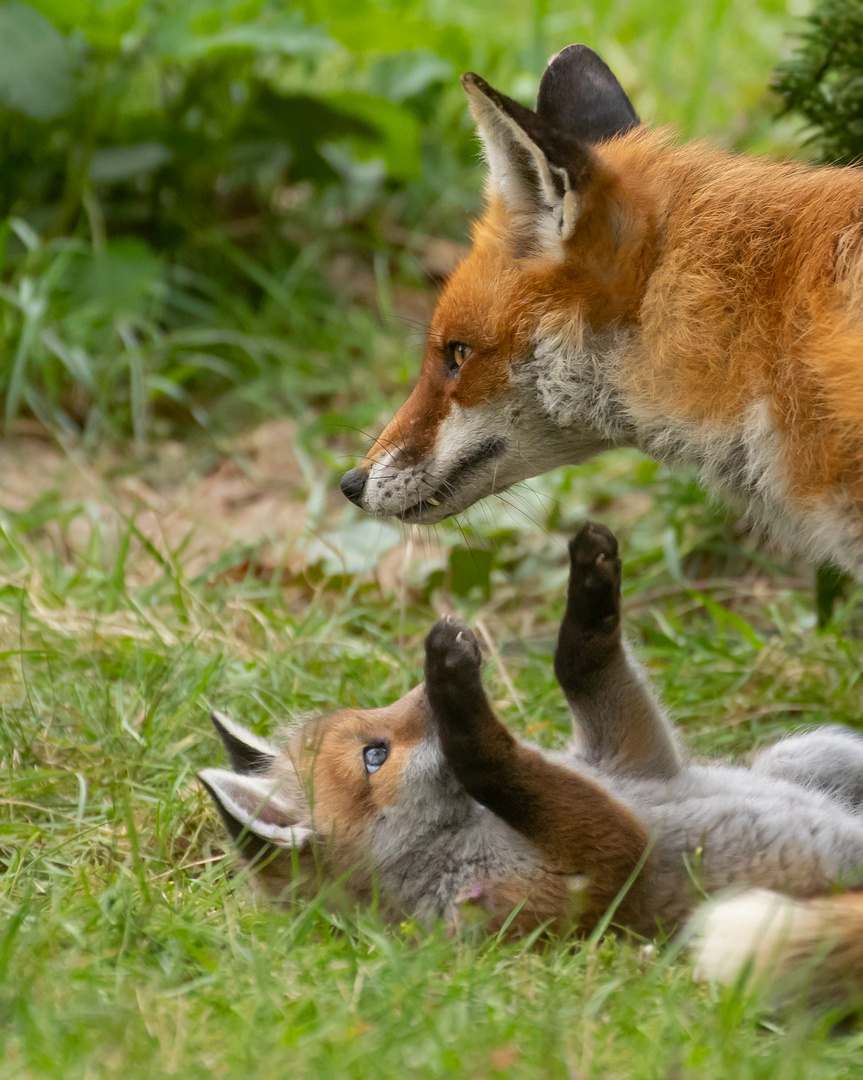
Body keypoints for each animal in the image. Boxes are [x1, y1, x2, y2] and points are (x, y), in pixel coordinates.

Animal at [204, 527, 863, 1006]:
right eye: (375, 755)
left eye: (373, 718)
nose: (424, 683)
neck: (457, 838)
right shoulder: (596, 873)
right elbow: (493, 766)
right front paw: (457, 692)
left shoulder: (630, 756)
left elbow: (582, 665)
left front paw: (592, 582)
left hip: (803, 751)